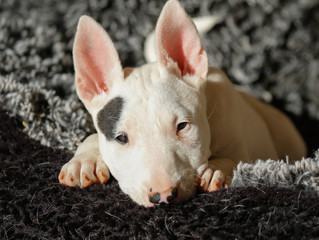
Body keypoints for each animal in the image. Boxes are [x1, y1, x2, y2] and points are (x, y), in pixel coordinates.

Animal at [58, 0, 308, 206]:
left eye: (182, 126)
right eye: (121, 138)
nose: (163, 195)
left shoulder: (239, 141)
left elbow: (238, 160)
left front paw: (216, 170)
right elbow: (93, 138)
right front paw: (84, 162)